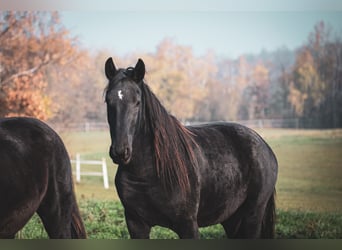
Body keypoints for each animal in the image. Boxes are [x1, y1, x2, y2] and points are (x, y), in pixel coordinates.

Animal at [103, 57, 278, 238]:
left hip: (252, 216)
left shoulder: (187, 224)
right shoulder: (136, 224)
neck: (149, 171)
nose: (120, 152)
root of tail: (263, 145)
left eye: (137, 102)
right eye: (108, 101)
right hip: (232, 220)